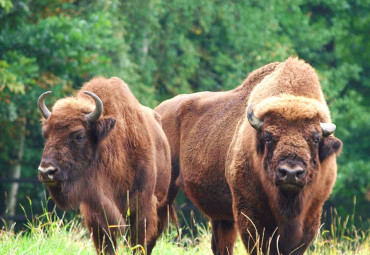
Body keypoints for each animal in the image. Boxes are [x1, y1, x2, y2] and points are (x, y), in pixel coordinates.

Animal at [36, 76, 173, 254]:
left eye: (79, 136)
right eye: (46, 135)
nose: (46, 171)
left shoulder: (142, 209)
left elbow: (137, 244)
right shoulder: (95, 213)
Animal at [155, 57, 342, 255]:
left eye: (316, 138)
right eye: (268, 136)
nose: (291, 173)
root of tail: (158, 111)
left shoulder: (311, 215)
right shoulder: (250, 213)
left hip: (221, 215)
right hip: (164, 193)